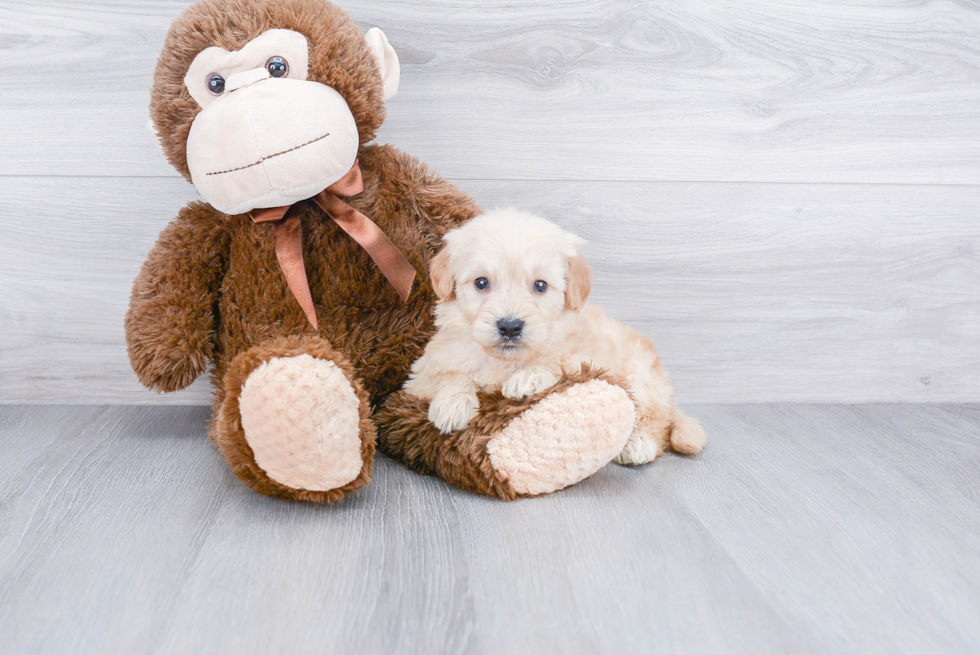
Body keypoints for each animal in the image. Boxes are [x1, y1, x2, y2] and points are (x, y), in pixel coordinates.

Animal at [404, 210, 704, 466]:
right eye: (481, 282)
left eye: (540, 286)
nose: (510, 326)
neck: (504, 361)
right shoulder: (420, 375)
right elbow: (450, 374)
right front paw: (452, 404)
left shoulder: (588, 357)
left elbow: (559, 361)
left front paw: (529, 377)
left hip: (642, 379)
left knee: (656, 420)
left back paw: (640, 443)